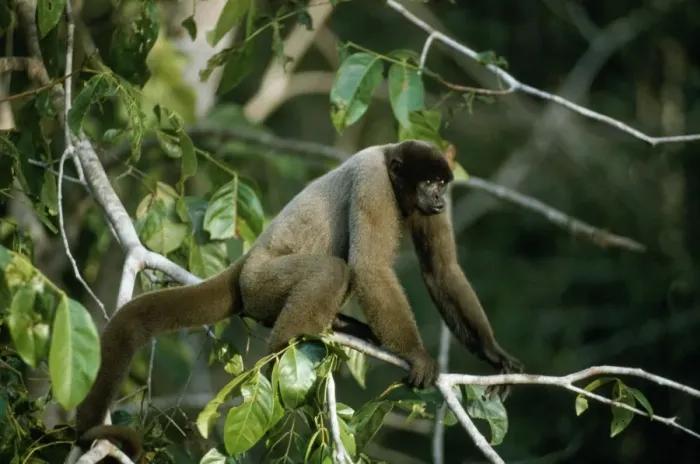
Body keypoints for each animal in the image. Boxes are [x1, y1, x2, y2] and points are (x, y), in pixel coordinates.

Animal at [74, 139, 523, 462]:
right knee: (333, 271)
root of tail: (244, 266)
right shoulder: (374, 183)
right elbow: (370, 268)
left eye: (442, 184)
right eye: (428, 182)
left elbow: (441, 269)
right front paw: (416, 354)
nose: (440, 199)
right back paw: (280, 354)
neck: (393, 170)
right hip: (262, 283)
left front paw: (495, 354)